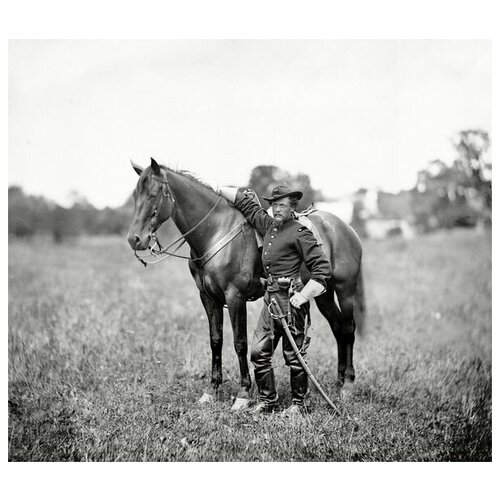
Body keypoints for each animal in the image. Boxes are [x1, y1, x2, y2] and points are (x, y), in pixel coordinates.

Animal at [127, 157, 366, 410]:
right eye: (135, 195)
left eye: (153, 194)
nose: (135, 239)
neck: (214, 231)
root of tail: (345, 228)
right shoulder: (208, 297)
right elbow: (216, 340)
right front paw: (212, 389)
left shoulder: (235, 296)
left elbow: (240, 343)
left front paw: (243, 393)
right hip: (323, 294)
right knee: (338, 328)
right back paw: (339, 382)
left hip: (345, 290)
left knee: (348, 329)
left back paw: (348, 384)